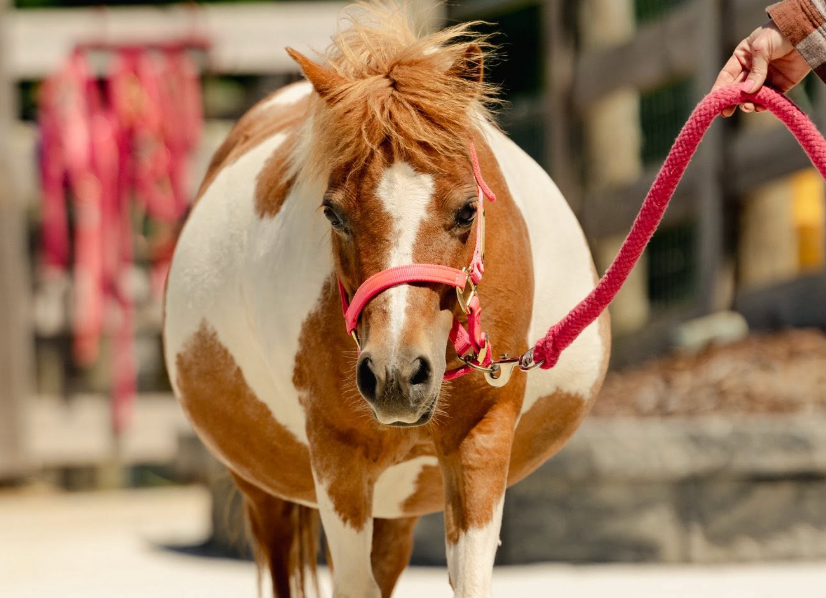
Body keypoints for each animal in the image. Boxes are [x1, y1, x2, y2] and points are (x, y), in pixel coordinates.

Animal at [163, 5, 610, 597]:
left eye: (468, 210)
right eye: (332, 213)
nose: (396, 376)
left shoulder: (482, 441)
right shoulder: (338, 461)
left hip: (398, 507)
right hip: (264, 491)